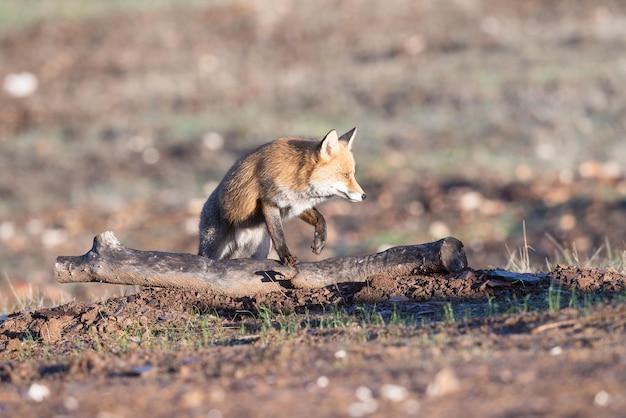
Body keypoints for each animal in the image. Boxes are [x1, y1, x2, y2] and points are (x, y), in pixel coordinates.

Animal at [199, 125, 366, 266]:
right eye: (345, 175)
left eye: (353, 174)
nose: (364, 196)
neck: (297, 178)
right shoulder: (269, 201)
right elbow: (279, 234)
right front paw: (286, 257)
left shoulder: (296, 205)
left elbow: (321, 219)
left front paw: (320, 241)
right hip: (212, 247)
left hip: (261, 249)